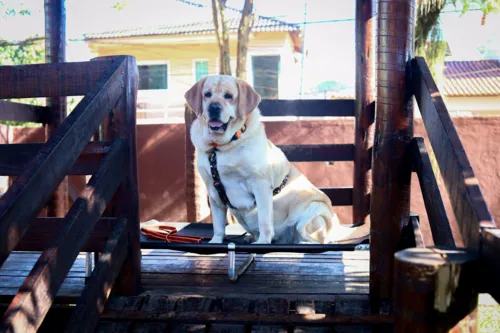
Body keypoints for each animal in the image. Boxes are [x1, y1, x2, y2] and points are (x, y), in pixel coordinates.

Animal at [186, 75, 358, 244]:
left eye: (228, 96)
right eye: (207, 94)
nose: (214, 107)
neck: (220, 147)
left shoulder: (260, 186)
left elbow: (264, 220)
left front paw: (263, 241)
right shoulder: (214, 191)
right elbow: (218, 224)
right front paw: (216, 240)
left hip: (313, 211)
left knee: (316, 238)